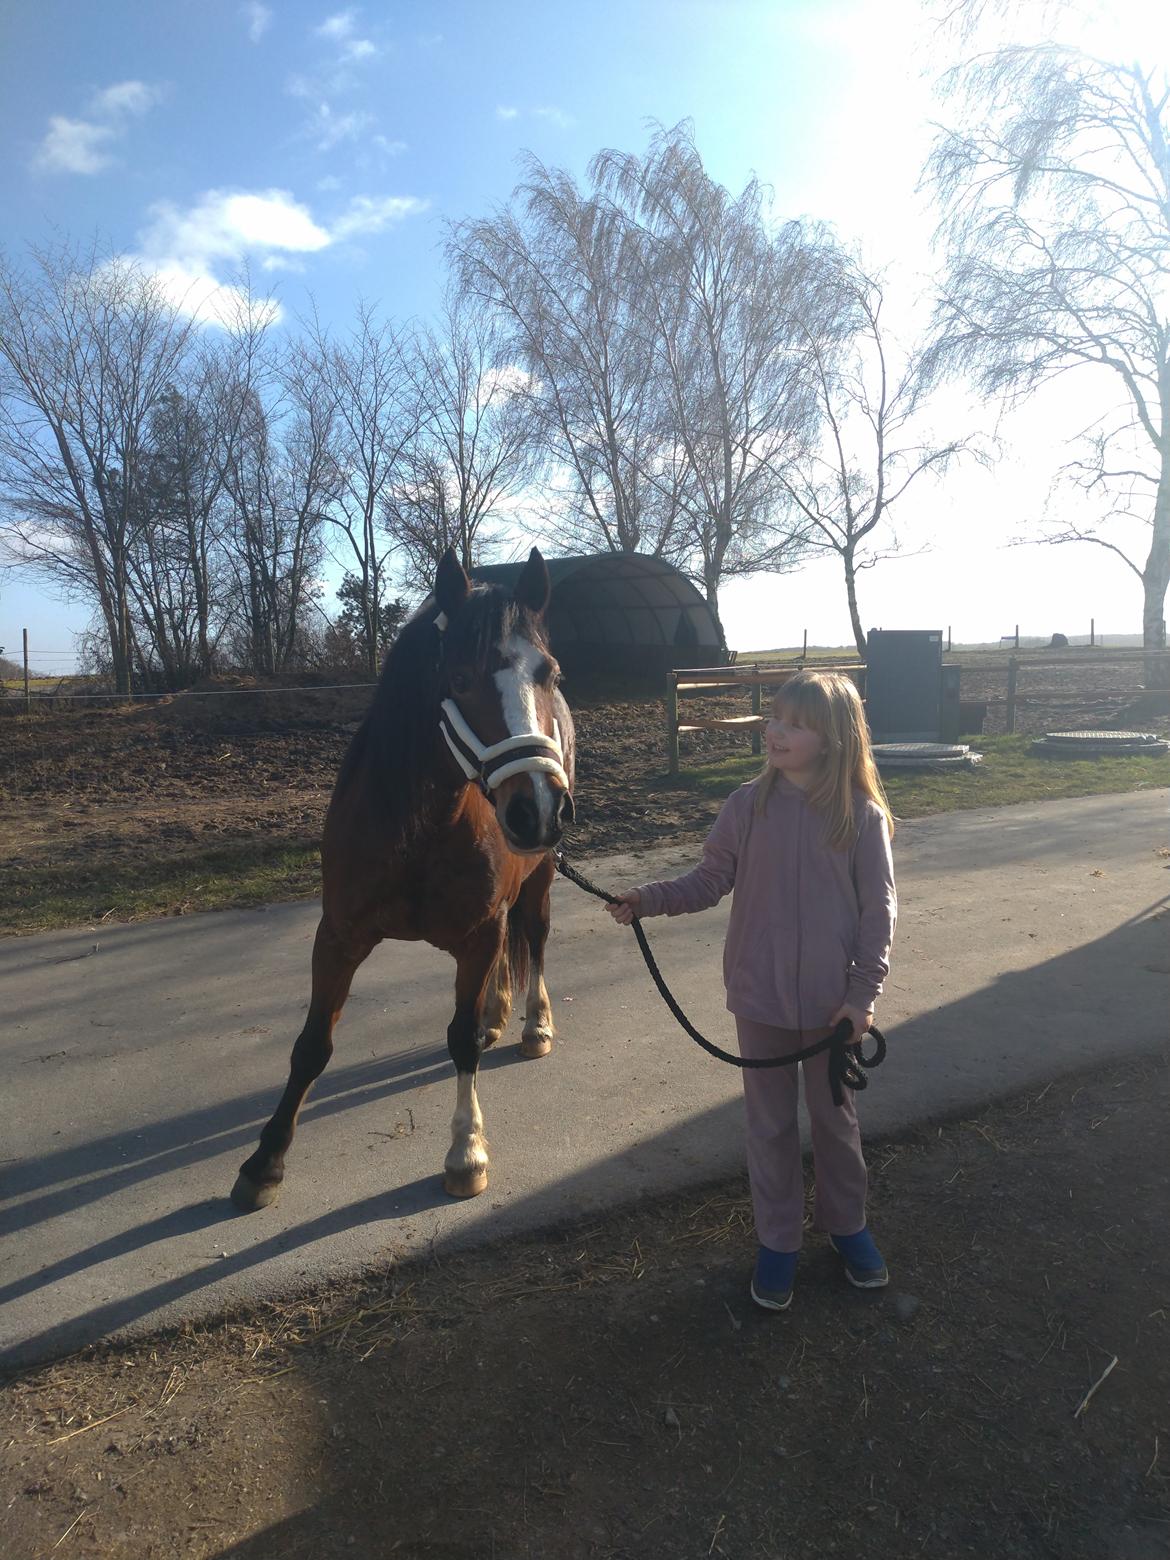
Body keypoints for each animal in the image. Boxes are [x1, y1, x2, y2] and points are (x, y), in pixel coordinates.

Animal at [230, 542, 577, 1210]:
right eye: (459, 679)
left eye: (550, 673)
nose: (538, 808)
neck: (420, 830)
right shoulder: (338, 937)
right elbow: (311, 1046)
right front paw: (264, 1162)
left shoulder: (479, 934)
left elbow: (459, 1040)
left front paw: (466, 1152)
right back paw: (498, 1015)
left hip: (542, 878)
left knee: (537, 942)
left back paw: (533, 1024)